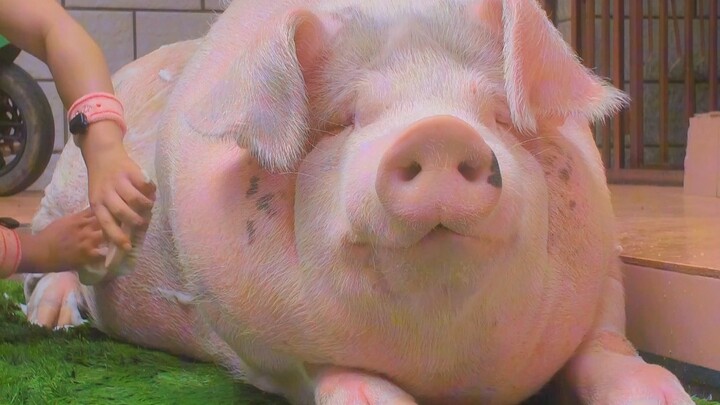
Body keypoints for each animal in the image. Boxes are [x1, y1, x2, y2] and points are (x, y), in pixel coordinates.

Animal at [24, 0, 694, 404]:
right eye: (345, 120)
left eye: (498, 114)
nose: (439, 132)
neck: (450, 370)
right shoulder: (255, 341)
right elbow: (336, 373)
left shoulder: (606, 273)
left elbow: (608, 342)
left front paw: (668, 395)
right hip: (69, 187)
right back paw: (49, 322)